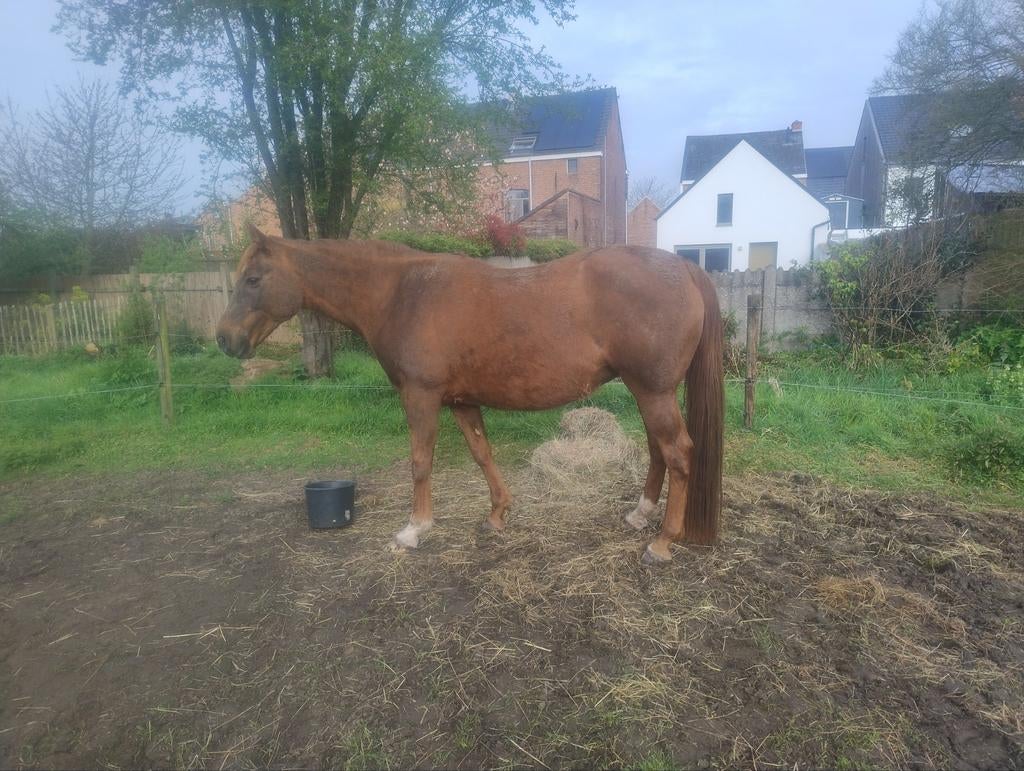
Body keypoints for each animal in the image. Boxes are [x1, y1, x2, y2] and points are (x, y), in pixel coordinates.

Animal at [216, 225, 723, 564]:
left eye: (254, 279)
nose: (225, 339)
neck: (402, 293)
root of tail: (684, 268)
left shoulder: (421, 396)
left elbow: (421, 461)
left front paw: (414, 529)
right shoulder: (461, 401)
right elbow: (482, 453)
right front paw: (497, 515)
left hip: (653, 391)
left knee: (678, 452)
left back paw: (662, 542)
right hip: (649, 391)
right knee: (658, 451)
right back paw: (640, 515)